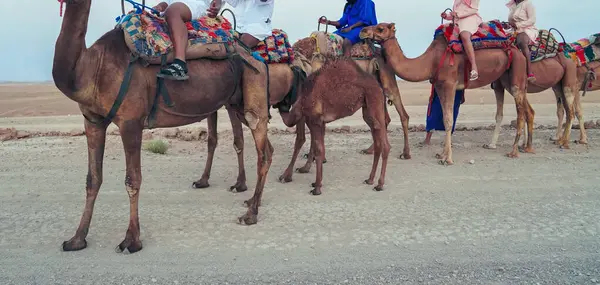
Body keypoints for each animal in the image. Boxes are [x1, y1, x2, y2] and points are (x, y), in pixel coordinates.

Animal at [53, 0, 272, 253]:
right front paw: (77, 239)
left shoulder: (131, 122)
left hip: (253, 94)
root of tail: (255, 57)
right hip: (236, 104)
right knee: (267, 149)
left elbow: (132, 180)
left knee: (262, 151)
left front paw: (131, 240)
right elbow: (92, 179)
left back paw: (250, 214)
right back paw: (251, 200)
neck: (92, 69)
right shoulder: (93, 121)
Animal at [278, 57, 392, 195]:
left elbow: (317, 149)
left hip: (374, 103)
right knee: (378, 142)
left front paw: (316, 188)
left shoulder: (314, 120)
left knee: (385, 145)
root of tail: (380, 88)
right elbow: (318, 148)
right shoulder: (320, 122)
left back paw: (379, 185)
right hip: (368, 110)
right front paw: (314, 181)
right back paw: (370, 180)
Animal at [360, 22, 528, 164]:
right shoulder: (440, 86)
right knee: (512, 110)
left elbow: (448, 120)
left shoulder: (449, 84)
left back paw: (514, 151)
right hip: (501, 80)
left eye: (381, 28)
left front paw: (448, 159)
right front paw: (442, 154)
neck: (431, 61)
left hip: (517, 75)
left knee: (521, 113)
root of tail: (517, 49)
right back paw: (498, 145)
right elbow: (445, 119)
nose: (363, 31)